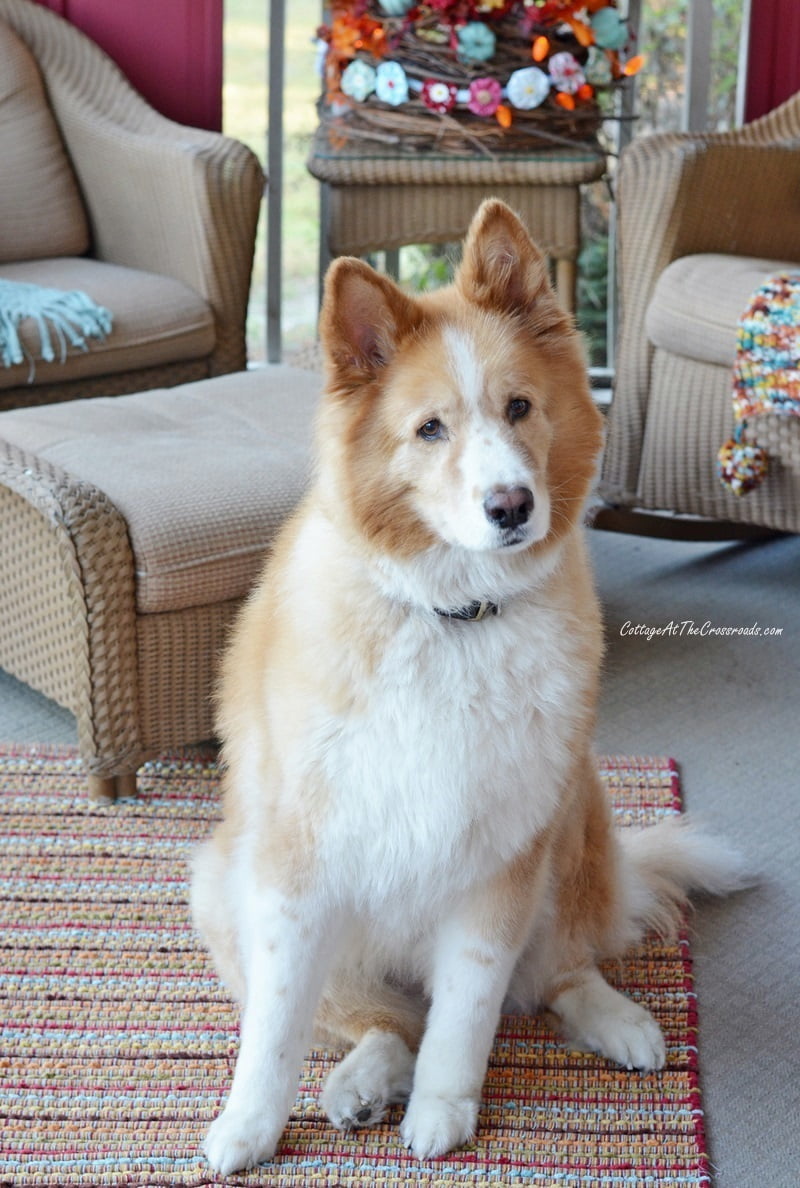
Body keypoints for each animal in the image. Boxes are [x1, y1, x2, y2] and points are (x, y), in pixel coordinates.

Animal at [190, 199, 746, 1173]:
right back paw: (360, 1083)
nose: (511, 506)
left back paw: (621, 1023)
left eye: (519, 407)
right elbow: (278, 1028)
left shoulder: (504, 858)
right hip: (223, 882)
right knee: (381, 1022)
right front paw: (250, 1128)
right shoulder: (294, 872)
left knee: (555, 973)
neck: (451, 620)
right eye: (430, 429)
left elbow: (470, 1011)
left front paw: (444, 1111)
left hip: (575, 814)